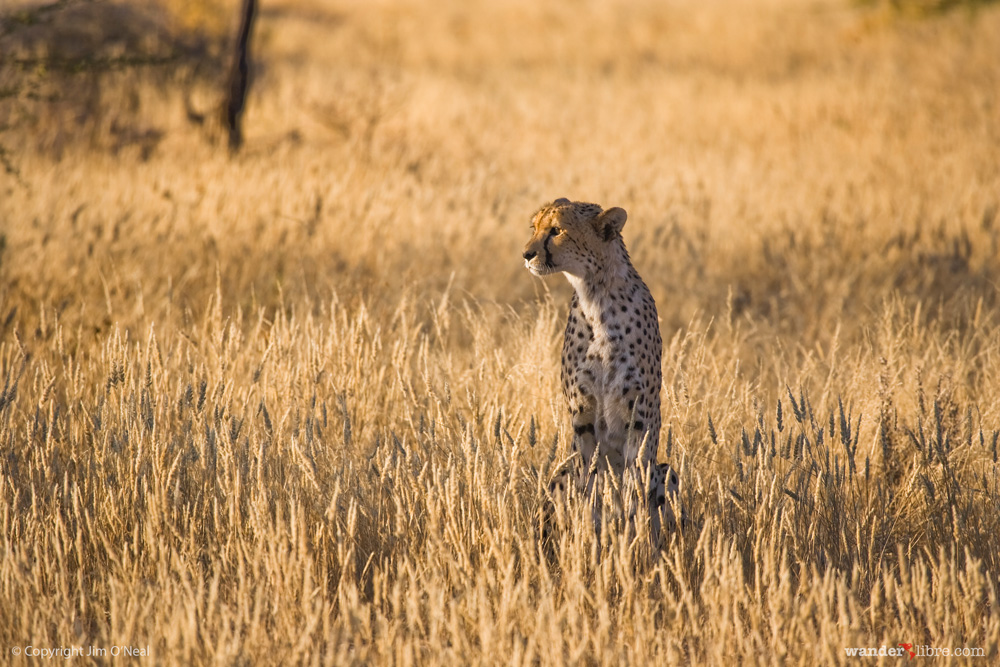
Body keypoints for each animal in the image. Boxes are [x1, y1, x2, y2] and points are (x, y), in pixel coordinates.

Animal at [524, 198, 680, 544]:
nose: (526, 254)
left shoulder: (641, 416)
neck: (597, 296)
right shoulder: (582, 415)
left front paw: (634, 538)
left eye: (556, 231)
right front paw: (588, 534)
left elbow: (634, 484)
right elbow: (589, 482)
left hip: (667, 471)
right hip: (559, 472)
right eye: (534, 228)